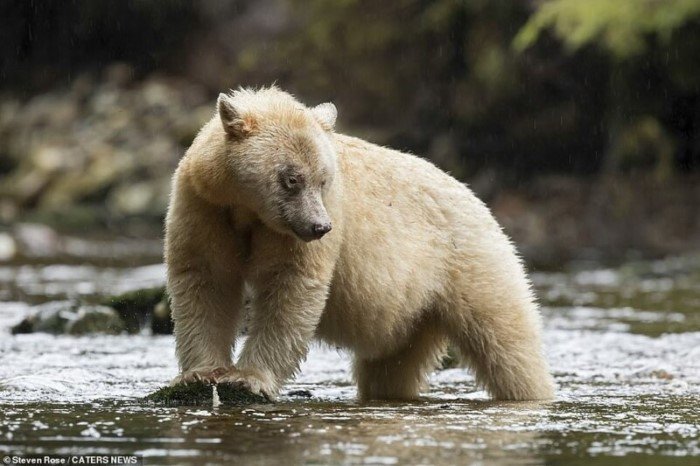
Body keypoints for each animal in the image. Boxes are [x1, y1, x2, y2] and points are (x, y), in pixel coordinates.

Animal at [167, 86, 556, 400]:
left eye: (324, 180)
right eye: (291, 179)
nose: (320, 226)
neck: (247, 210)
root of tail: (477, 199)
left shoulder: (292, 235)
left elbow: (290, 289)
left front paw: (248, 378)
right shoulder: (204, 206)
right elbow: (205, 278)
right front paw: (201, 373)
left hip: (470, 262)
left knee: (507, 340)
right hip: (414, 311)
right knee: (393, 364)